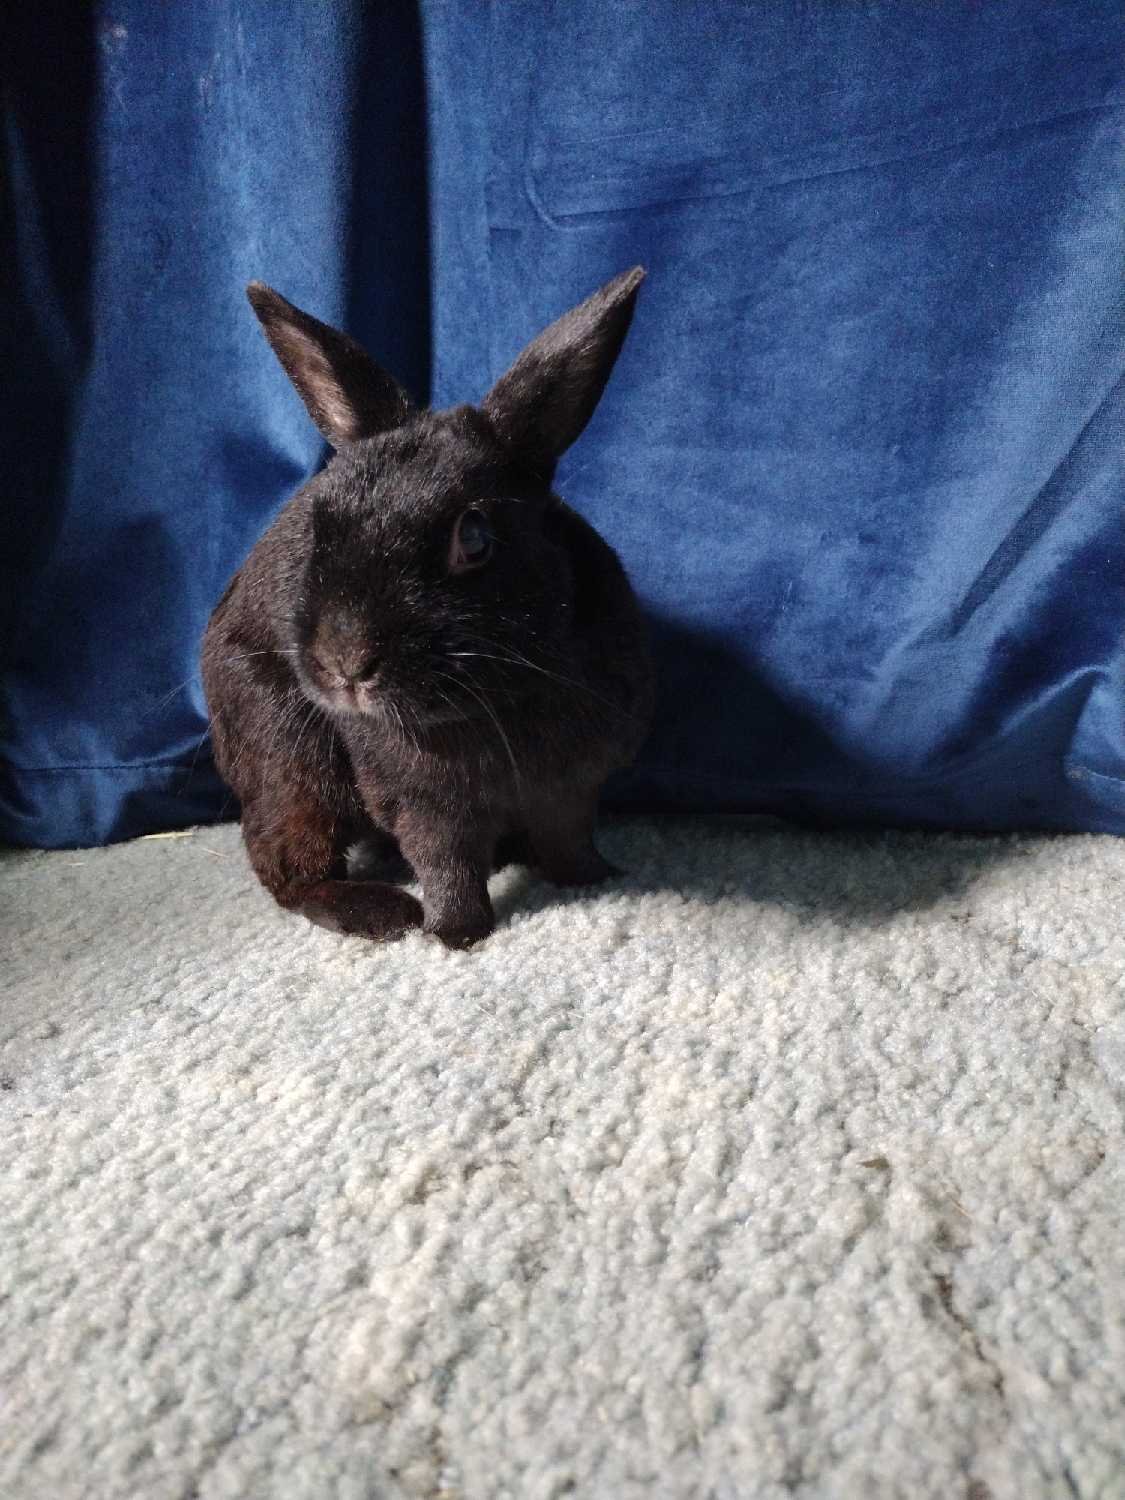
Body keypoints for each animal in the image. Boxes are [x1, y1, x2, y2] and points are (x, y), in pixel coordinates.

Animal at [200, 267, 653, 949]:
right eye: (318, 527)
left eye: (475, 537)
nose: (345, 663)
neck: (502, 701)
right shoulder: (423, 803)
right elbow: (447, 863)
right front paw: (455, 934)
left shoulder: (573, 786)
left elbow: (567, 839)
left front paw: (594, 880)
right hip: (288, 762)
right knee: (286, 864)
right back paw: (380, 913)